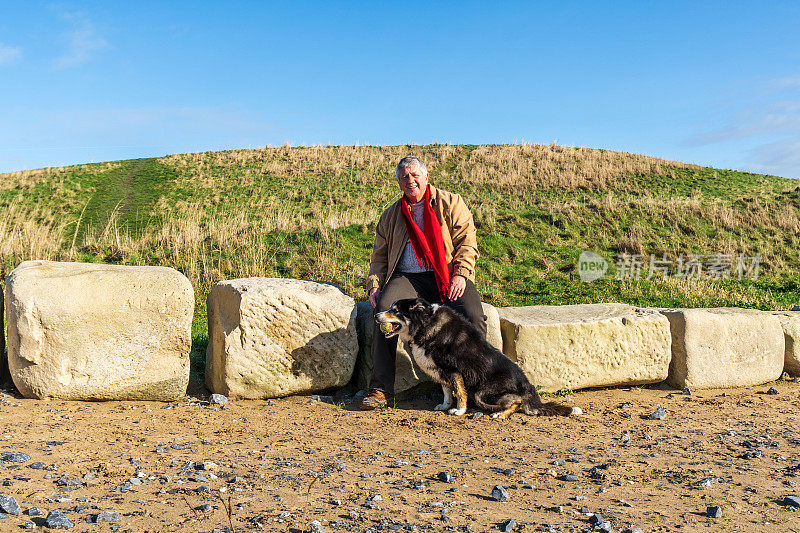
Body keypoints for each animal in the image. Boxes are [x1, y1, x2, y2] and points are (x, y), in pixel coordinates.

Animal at [376, 298, 580, 418]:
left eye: (395, 310)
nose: (376, 315)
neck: (425, 324)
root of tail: (530, 389)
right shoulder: (441, 371)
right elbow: (447, 392)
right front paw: (444, 405)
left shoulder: (454, 370)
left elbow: (460, 393)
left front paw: (459, 410)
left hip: (482, 392)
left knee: (517, 402)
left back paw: (500, 414)